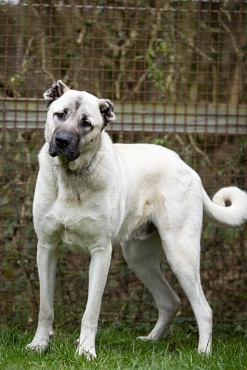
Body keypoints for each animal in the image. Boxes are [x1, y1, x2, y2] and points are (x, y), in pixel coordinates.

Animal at [27, 80, 247, 358]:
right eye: (60, 114)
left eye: (86, 123)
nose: (62, 141)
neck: (71, 179)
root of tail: (187, 167)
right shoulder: (46, 247)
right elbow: (45, 307)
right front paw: (39, 345)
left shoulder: (101, 252)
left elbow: (91, 310)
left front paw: (86, 351)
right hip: (139, 259)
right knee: (170, 301)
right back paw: (150, 340)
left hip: (180, 253)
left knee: (204, 309)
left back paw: (203, 353)